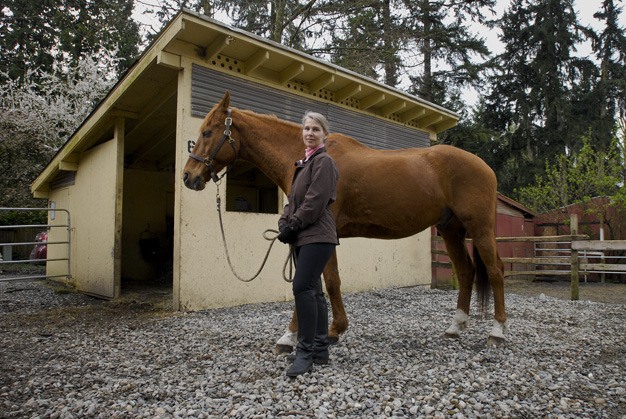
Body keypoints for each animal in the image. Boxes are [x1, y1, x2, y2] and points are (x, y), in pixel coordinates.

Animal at [183, 92, 504, 352]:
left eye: (208, 131)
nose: (188, 177)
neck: (308, 160)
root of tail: (485, 166)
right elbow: (318, 282)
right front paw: (319, 332)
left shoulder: (322, 235)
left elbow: (324, 281)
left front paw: (306, 335)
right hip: (451, 230)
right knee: (466, 272)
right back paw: (455, 328)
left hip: (480, 229)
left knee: (495, 271)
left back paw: (497, 332)